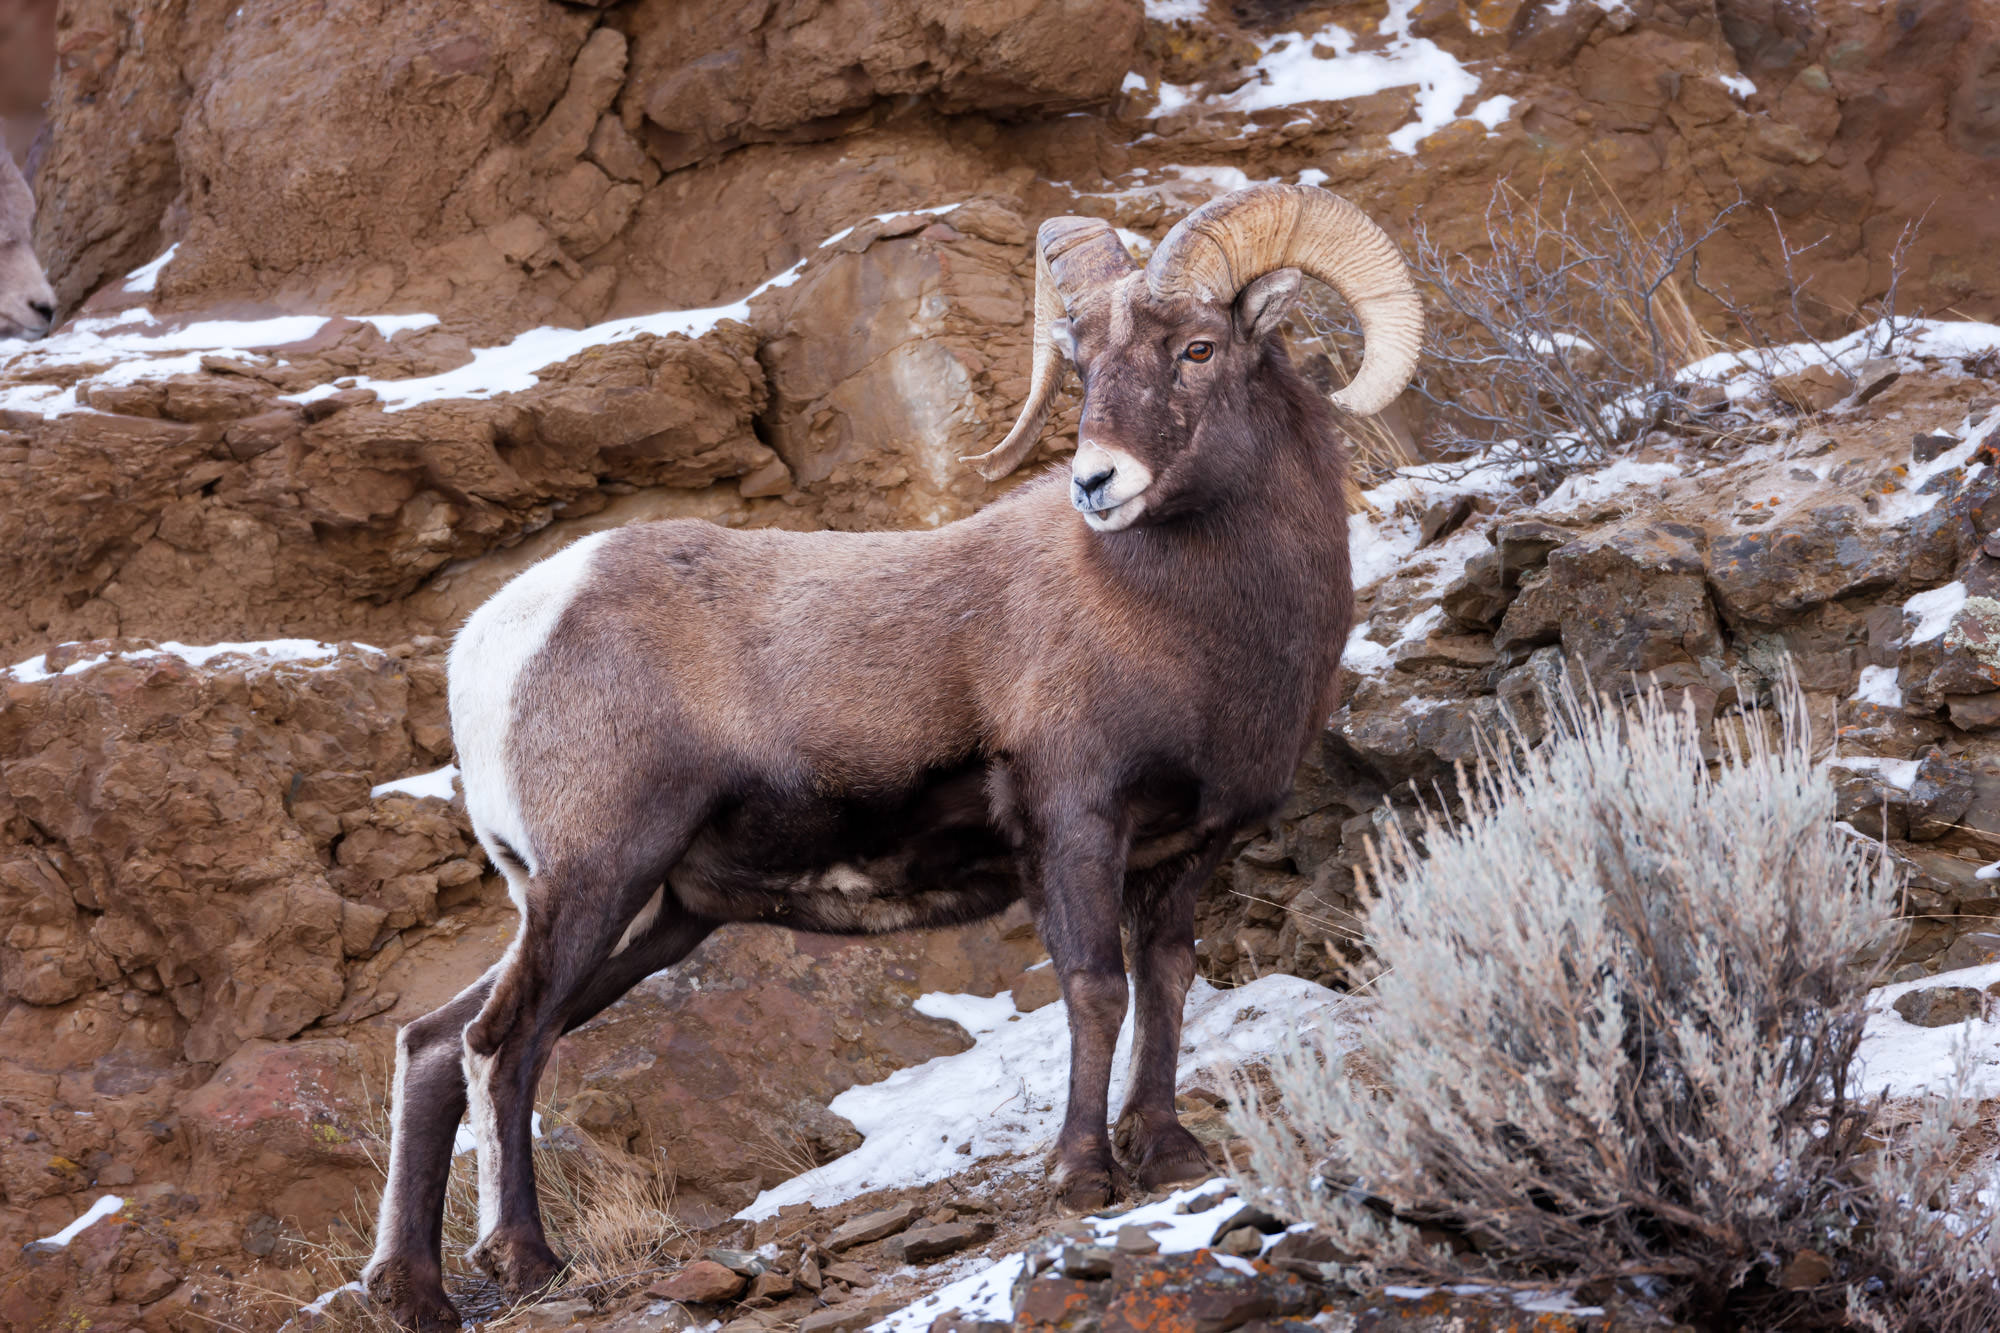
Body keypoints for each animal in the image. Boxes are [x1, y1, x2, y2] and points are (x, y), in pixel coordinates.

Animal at [364, 182, 1424, 1320]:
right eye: (1084, 364)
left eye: (1196, 348)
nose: (1098, 483)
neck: (1186, 622)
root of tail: (495, 638)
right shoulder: (1074, 824)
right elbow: (1097, 987)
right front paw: (1081, 1175)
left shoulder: (1184, 850)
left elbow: (1167, 982)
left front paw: (1167, 1152)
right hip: (596, 880)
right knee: (500, 1046)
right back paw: (524, 1262)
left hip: (643, 914)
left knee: (438, 1044)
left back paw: (414, 1291)